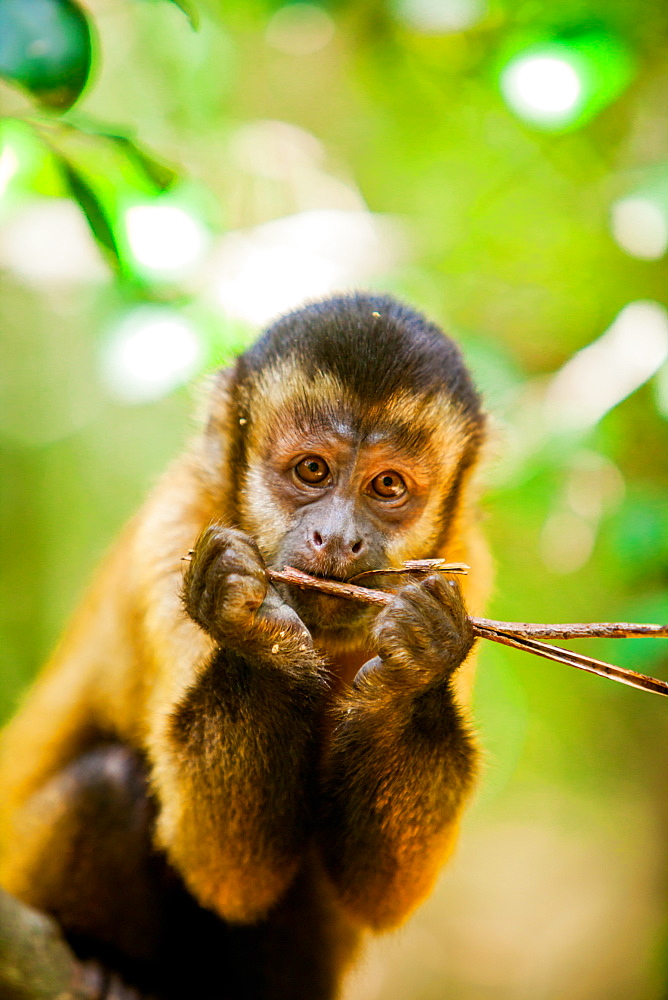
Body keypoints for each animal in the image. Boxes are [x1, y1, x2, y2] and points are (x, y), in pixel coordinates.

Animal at [0, 292, 490, 996]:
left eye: (388, 487)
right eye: (312, 470)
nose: (337, 538)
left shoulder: (465, 565)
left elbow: (380, 892)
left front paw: (418, 665)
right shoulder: (175, 533)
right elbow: (223, 869)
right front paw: (257, 633)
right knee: (109, 785)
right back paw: (101, 960)